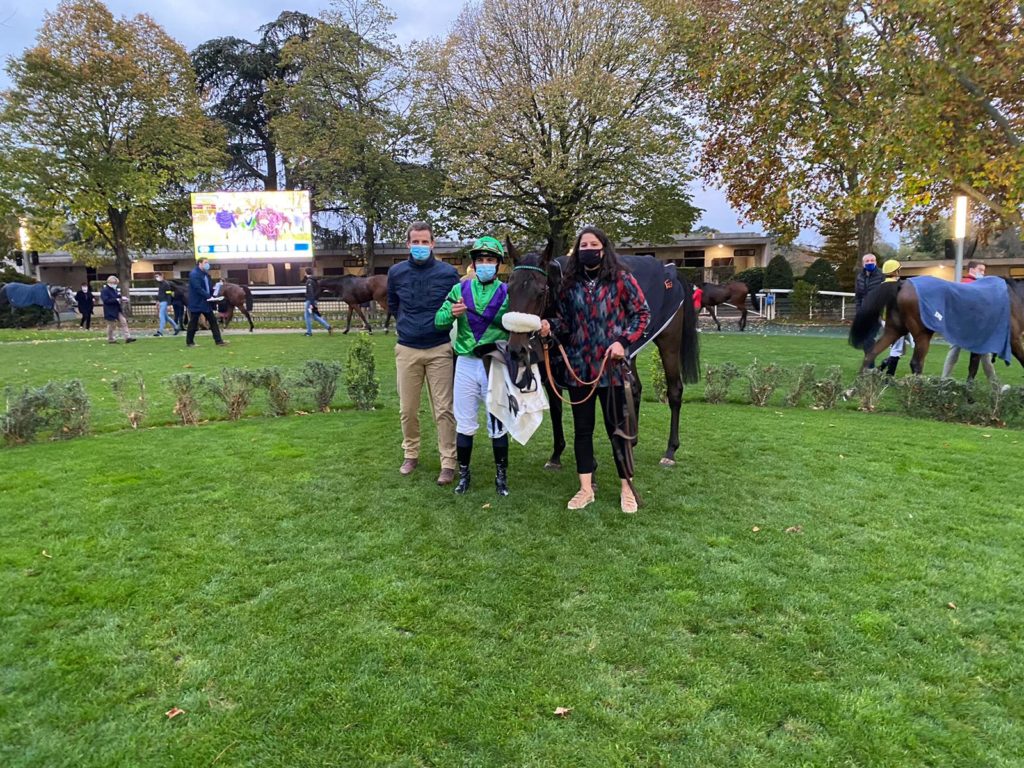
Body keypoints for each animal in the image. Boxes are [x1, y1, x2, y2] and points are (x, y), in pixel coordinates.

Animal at [501, 240, 700, 468]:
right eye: (509, 289)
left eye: (541, 291)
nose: (516, 349)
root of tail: (671, 271)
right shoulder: (552, 372)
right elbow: (556, 410)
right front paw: (556, 455)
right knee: (635, 388)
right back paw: (631, 441)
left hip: (669, 344)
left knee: (674, 391)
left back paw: (670, 451)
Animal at [847, 280, 1024, 376]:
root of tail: (902, 283)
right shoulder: (1014, 340)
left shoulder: (980, 343)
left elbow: (973, 368)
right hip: (922, 333)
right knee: (916, 363)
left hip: (895, 329)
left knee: (871, 353)